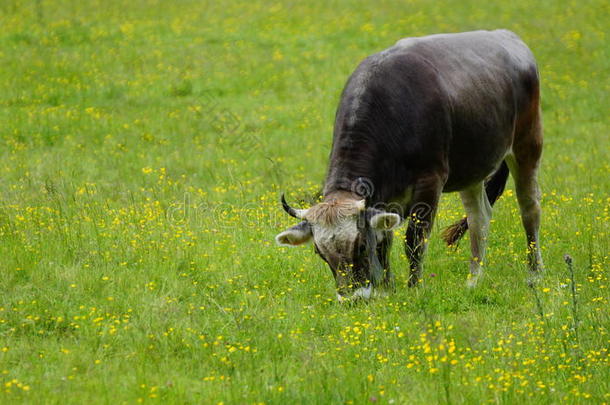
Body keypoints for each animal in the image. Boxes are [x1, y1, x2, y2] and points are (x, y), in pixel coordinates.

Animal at [274, 29, 540, 300]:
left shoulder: (429, 183)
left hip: (527, 145)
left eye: (360, 245)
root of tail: (507, 36)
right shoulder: (384, 200)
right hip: (472, 170)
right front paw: (386, 289)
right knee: (479, 217)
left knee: (529, 209)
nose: (352, 299)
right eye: (320, 252)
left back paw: (534, 273)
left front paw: (414, 287)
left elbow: (414, 239)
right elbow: (384, 242)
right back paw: (473, 280)